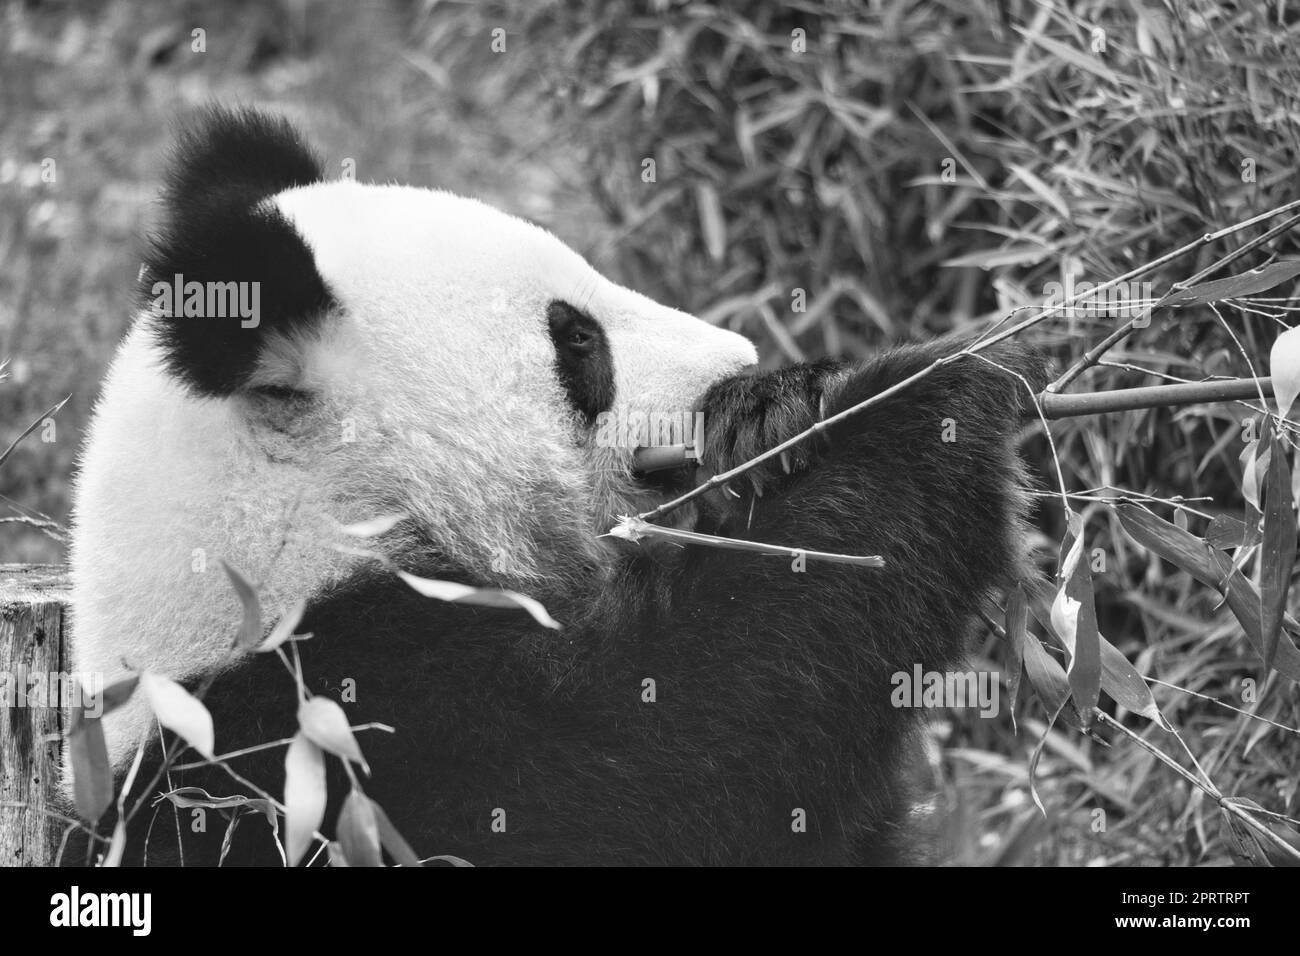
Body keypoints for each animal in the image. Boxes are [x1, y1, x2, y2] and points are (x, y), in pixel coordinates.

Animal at [65, 107, 1046, 866]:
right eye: (577, 341)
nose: (737, 365)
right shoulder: (345, 731)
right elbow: (674, 750)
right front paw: (927, 404)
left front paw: (777, 412)